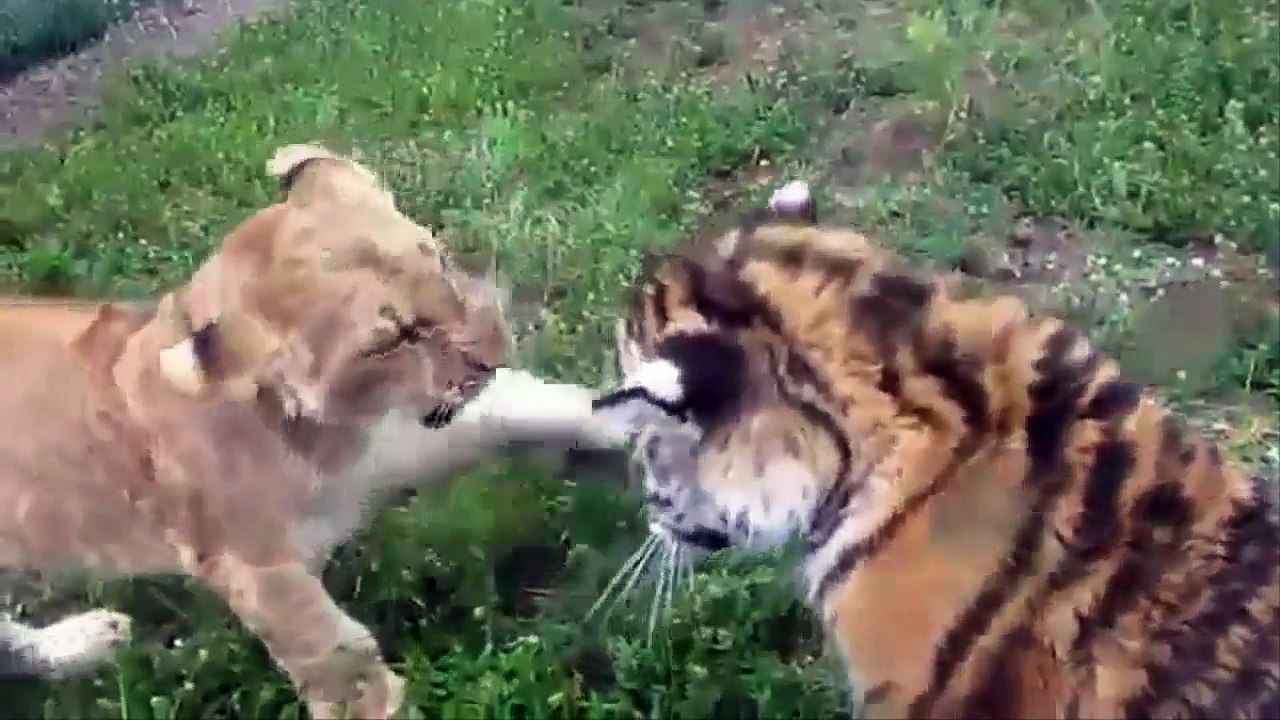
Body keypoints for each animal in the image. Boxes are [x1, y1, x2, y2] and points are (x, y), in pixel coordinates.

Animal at [0, 144, 611, 719]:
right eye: (390, 341)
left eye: (438, 258)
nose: (494, 351)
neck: (334, 430)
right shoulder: (256, 571)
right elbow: (342, 663)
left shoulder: (409, 433)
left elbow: (547, 405)